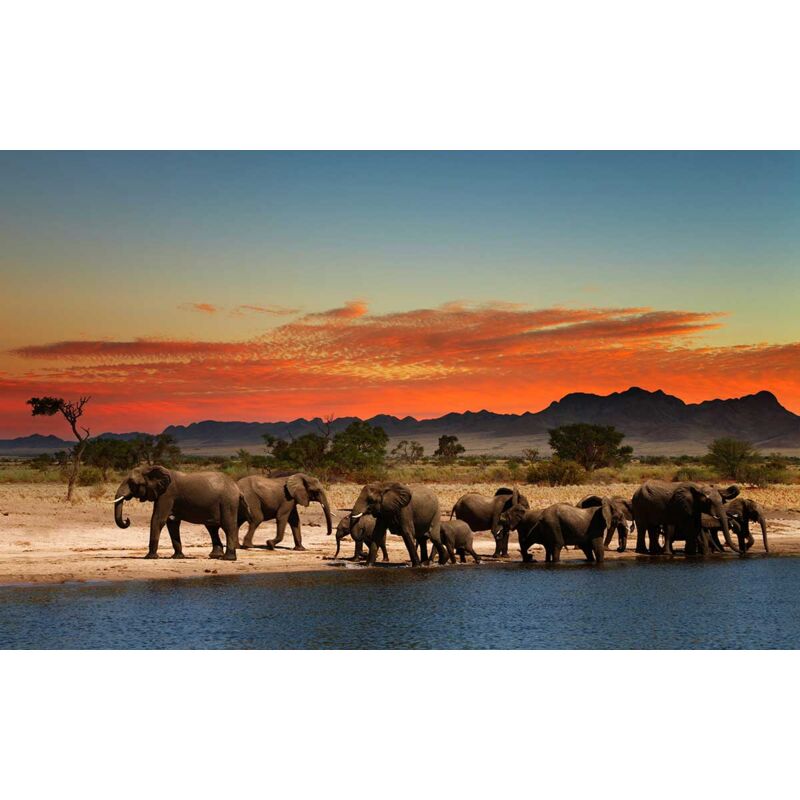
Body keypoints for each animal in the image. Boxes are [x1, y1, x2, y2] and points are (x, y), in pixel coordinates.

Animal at [113, 465, 248, 560]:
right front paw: (177, 557)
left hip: (228, 502)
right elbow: (172, 523)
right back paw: (215, 556)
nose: (127, 520)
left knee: (227, 526)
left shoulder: (167, 495)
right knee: (212, 527)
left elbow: (158, 519)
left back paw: (227, 558)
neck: (150, 468)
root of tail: (237, 489)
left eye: (132, 483)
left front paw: (149, 557)